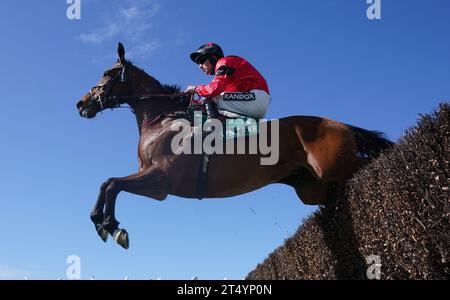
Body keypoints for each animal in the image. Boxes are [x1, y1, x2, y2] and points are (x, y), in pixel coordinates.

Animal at [75, 42, 392, 248]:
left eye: (107, 73)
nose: (81, 103)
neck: (162, 120)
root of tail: (338, 123)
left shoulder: (162, 178)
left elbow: (113, 184)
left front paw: (111, 226)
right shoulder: (156, 187)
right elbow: (107, 183)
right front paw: (101, 221)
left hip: (335, 166)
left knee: (372, 162)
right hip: (314, 187)